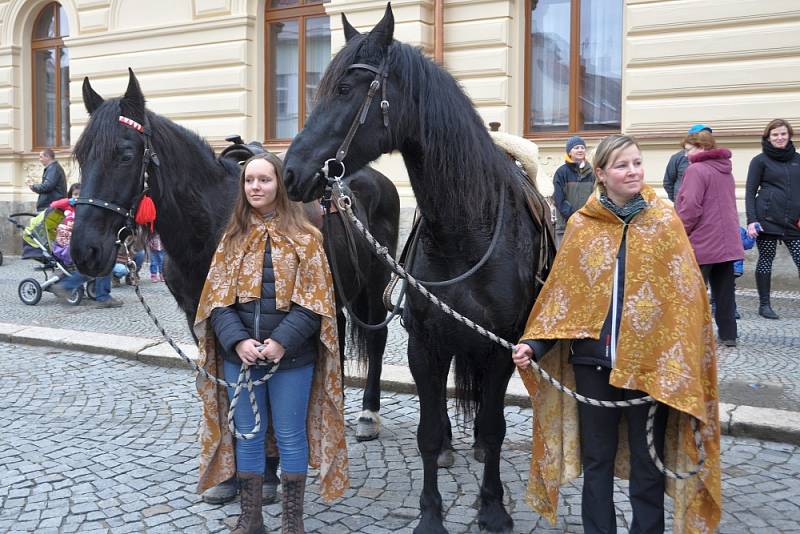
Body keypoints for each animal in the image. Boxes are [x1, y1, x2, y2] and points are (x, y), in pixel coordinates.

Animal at [69, 69, 404, 442]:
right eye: (80, 156)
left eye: (125, 155)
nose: (84, 249)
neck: (209, 224)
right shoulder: (200, 315)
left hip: (374, 282)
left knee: (375, 338)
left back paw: (368, 414)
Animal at [282, 5, 552, 534]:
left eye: (346, 88)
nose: (290, 172)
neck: (467, 230)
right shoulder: (425, 344)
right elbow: (427, 431)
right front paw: (430, 512)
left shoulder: (501, 348)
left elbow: (495, 426)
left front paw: (493, 506)